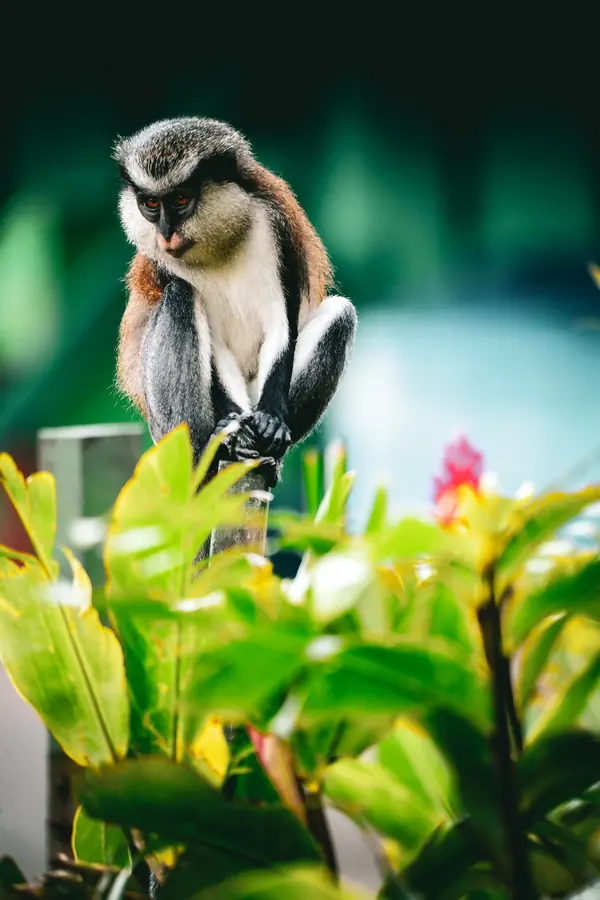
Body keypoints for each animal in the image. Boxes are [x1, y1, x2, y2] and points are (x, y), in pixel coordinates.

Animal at [113, 117, 357, 483]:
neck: (216, 245)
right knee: (180, 296)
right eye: (151, 205)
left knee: (341, 314)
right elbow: (215, 345)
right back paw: (213, 451)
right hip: (165, 430)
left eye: (181, 199)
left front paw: (271, 421)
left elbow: (280, 324)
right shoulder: (159, 262)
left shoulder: (275, 225)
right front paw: (235, 436)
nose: (166, 233)